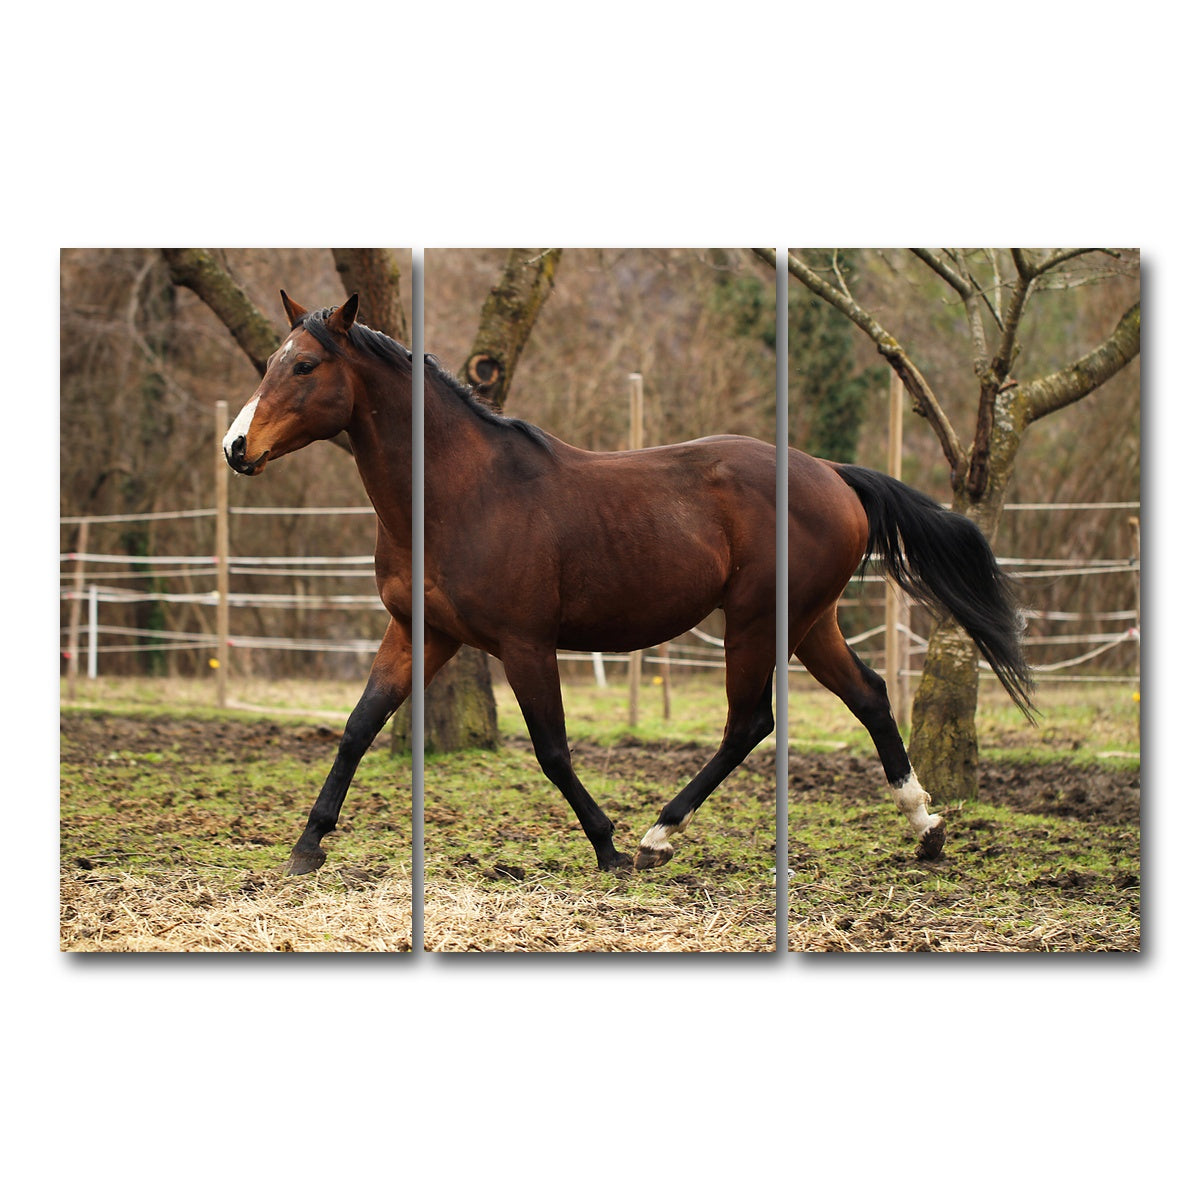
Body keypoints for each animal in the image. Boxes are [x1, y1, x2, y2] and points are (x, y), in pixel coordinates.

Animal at [223, 292, 1033, 875]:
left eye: (303, 367)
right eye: (270, 361)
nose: (235, 448)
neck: (457, 493)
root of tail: (833, 474)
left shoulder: (525, 643)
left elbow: (552, 749)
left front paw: (607, 846)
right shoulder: (422, 632)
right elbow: (359, 726)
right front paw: (306, 847)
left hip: (757, 622)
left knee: (749, 723)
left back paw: (656, 836)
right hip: (809, 622)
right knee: (867, 695)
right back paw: (925, 827)